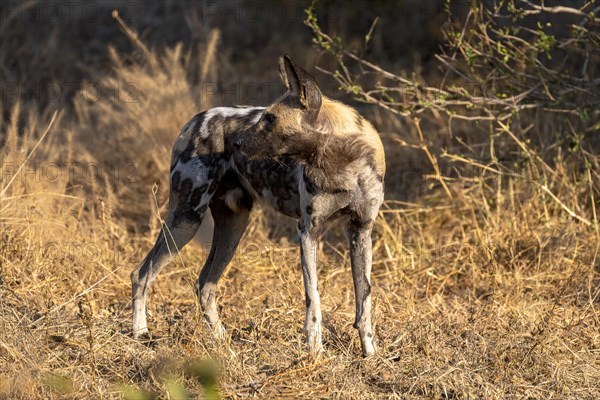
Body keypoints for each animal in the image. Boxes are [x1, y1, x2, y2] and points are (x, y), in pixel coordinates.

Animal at [131, 54, 384, 356]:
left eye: (271, 119)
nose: (236, 142)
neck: (342, 162)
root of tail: (198, 118)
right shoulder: (308, 230)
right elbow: (313, 299)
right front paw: (315, 350)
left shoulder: (361, 231)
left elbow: (364, 299)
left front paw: (369, 353)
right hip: (186, 219)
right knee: (142, 274)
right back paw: (140, 333)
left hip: (233, 227)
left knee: (205, 284)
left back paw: (222, 342)